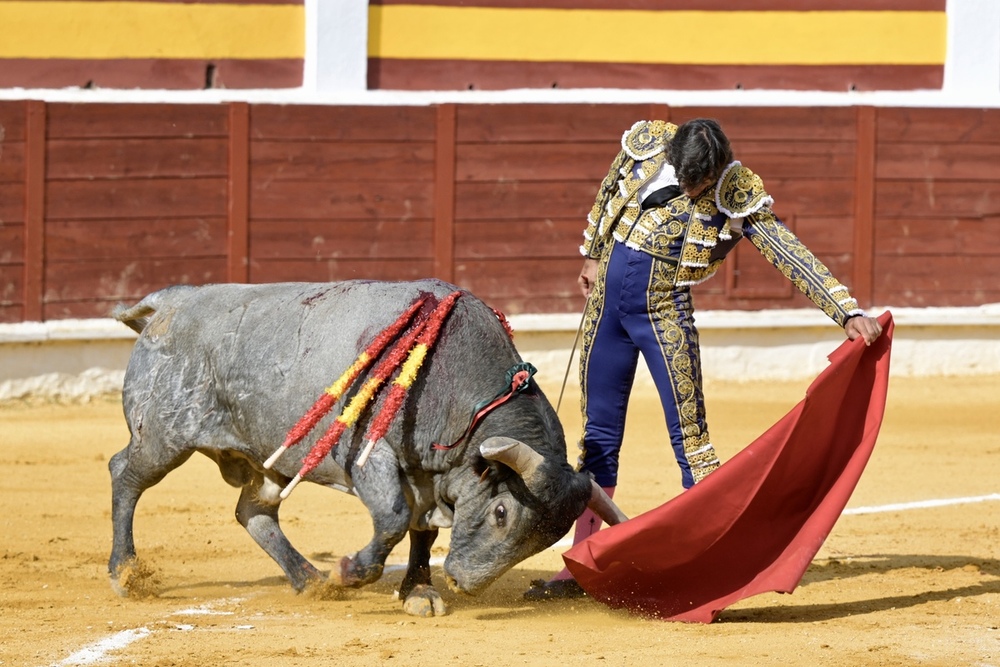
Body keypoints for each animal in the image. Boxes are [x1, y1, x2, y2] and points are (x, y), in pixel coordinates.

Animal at [109, 280, 624, 620]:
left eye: (547, 539)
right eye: (501, 512)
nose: (464, 583)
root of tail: (171, 301)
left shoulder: (427, 475)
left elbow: (422, 531)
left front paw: (419, 591)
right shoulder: (372, 459)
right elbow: (394, 517)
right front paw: (352, 571)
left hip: (266, 459)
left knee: (252, 511)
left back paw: (310, 582)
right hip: (161, 437)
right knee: (124, 475)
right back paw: (124, 572)